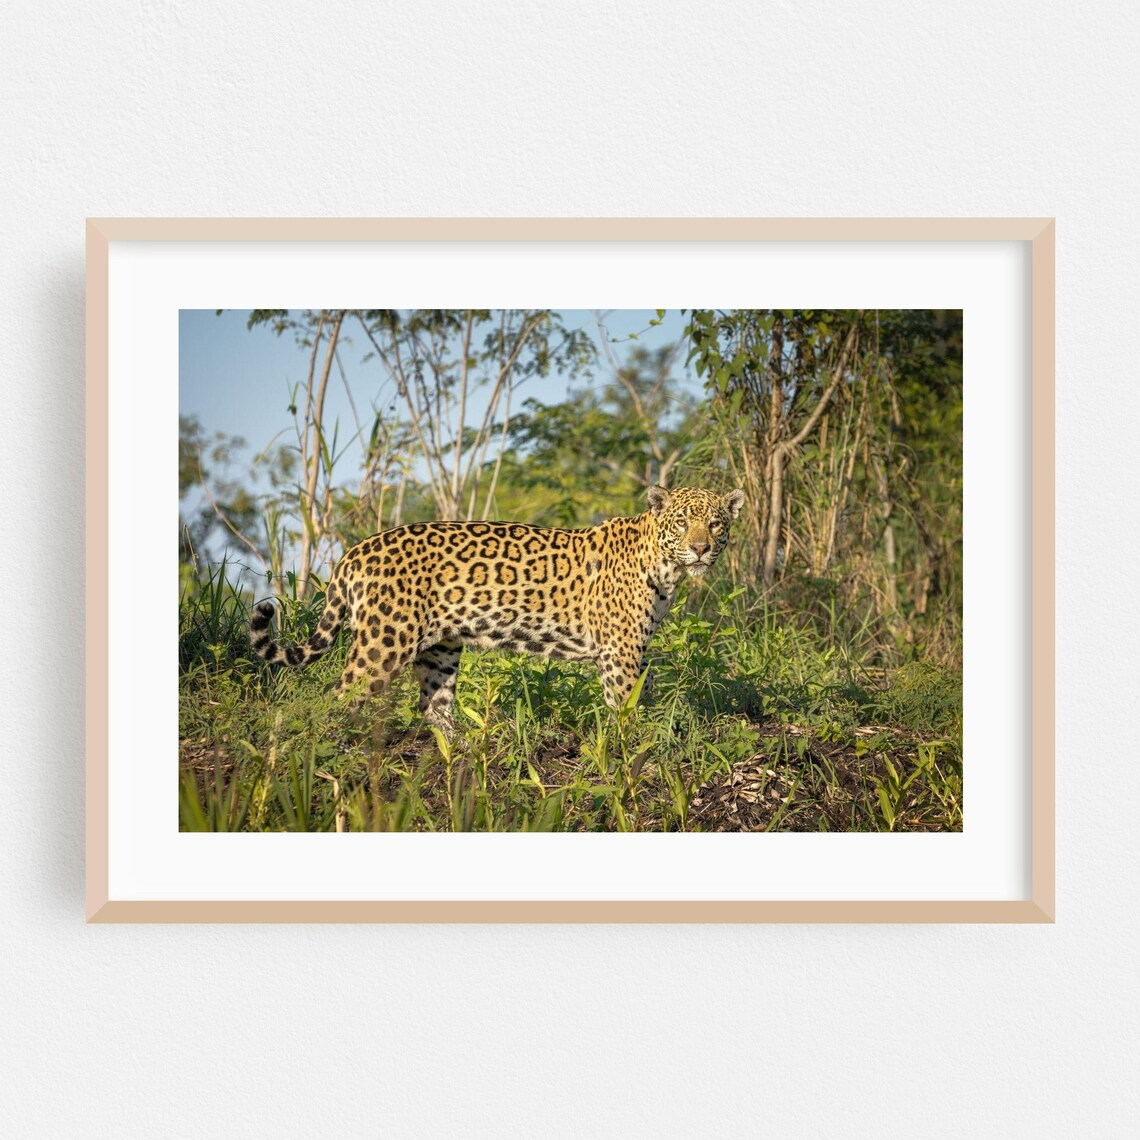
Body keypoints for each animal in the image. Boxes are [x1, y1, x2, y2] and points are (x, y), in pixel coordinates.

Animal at [249, 484, 745, 733]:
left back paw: (463, 747)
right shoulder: (620, 651)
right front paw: (633, 744)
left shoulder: (631, 650)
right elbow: (624, 703)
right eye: (682, 523)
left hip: (441, 649)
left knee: (433, 705)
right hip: (384, 643)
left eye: (715, 523)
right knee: (338, 697)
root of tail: (354, 550)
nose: (700, 548)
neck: (664, 566)